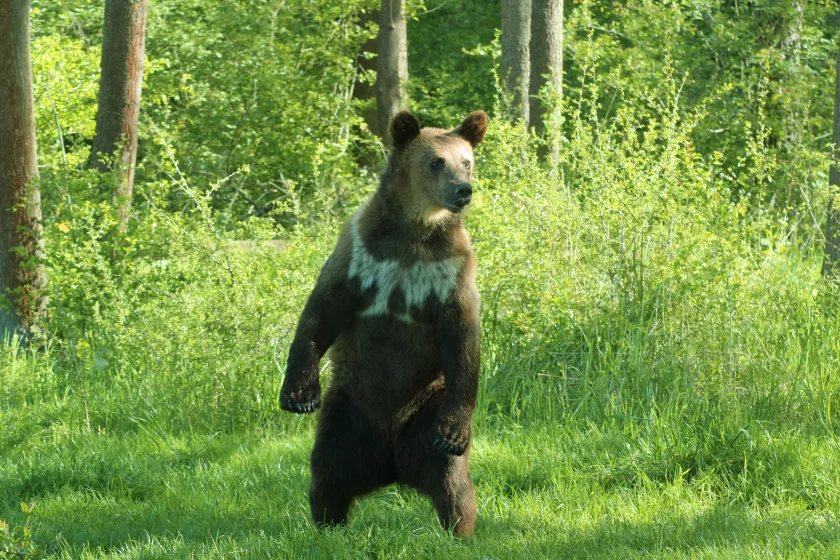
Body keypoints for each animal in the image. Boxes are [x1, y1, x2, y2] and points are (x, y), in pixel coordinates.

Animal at [279, 109, 488, 537]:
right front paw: (299, 394)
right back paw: (329, 526)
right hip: (348, 409)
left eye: (467, 161)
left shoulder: (451, 271)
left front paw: (454, 433)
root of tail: (393, 467)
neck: (415, 228)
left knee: (452, 480)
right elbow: (321, 313)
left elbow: (463, 339)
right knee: (328, 470)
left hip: (427, 408)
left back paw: (458, 530)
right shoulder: (361, 254)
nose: (463, 191)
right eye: (436, 162)